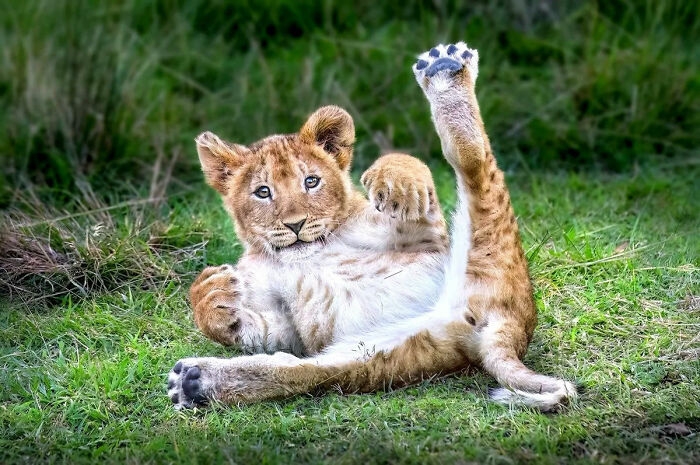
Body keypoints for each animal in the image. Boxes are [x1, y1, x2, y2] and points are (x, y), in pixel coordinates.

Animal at [167, 42, 577, 411]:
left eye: (311, 181)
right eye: (263, 192)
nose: (296, 224)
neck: (303, 254)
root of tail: (509, 325)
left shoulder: (425, 238)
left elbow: (408, 172)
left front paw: (397, 179)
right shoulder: (288, 327)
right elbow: (256, 331)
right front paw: (210, 292)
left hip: (485, 240)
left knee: (473, 160)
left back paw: (444, 69)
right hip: (380, 354)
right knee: (301, 372)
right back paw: (195, 383)